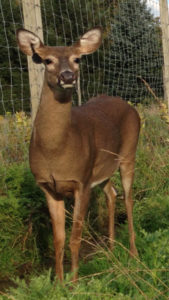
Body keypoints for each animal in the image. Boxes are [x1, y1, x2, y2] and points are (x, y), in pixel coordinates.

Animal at [16, 27, 140, 282]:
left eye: (77, 59)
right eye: (47, 60)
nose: (67, 76)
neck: (56, 151)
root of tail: (128, 105)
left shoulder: (81, 181)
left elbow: (75, 238)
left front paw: (74, 283)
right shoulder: (48, 187)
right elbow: (58, 239)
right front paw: (59, 283)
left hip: (128, 154)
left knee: (128, 198)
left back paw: (133, 254)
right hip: (102, 168)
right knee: (112, 194)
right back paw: (111, 249)